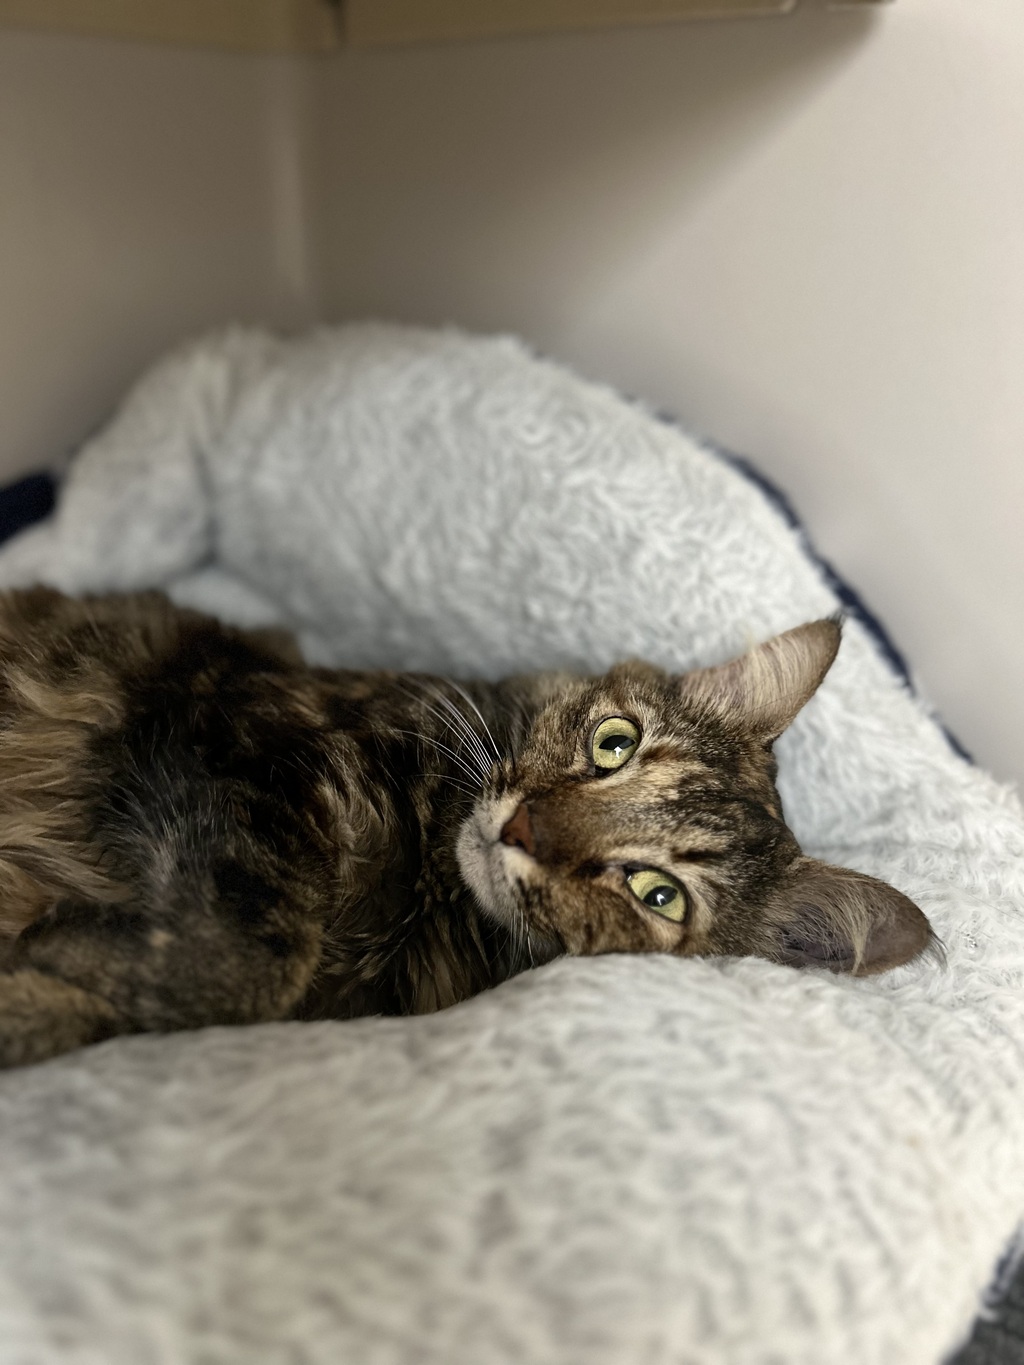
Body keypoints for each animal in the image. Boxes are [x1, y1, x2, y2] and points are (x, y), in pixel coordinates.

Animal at [0, 587, 932, 1068]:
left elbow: (241, 971)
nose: (522, 827)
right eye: (614, 743)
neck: (429, 880)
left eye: (657, 893)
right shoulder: (237, 725)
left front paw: (46, 972)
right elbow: (254, 957)